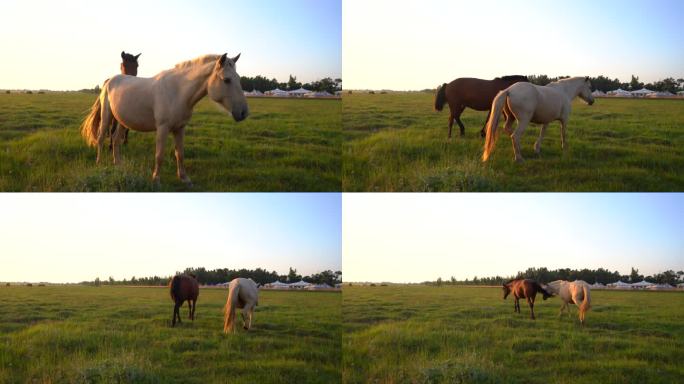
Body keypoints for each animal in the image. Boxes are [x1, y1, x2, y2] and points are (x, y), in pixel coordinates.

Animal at [80, 53, 250, 185]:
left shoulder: (180, 128)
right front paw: (156, 179)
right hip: (107, 116)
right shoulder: (163, 128)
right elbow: (159, 154)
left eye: (238, 78)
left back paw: (118, 164)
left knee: (115, 140)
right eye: (227, 80)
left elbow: (180, 154)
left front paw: (185, 179)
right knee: (101, 137)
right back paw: (99, 162)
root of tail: (109, 80)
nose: (244, 113)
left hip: (123, 120)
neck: (178, 91)